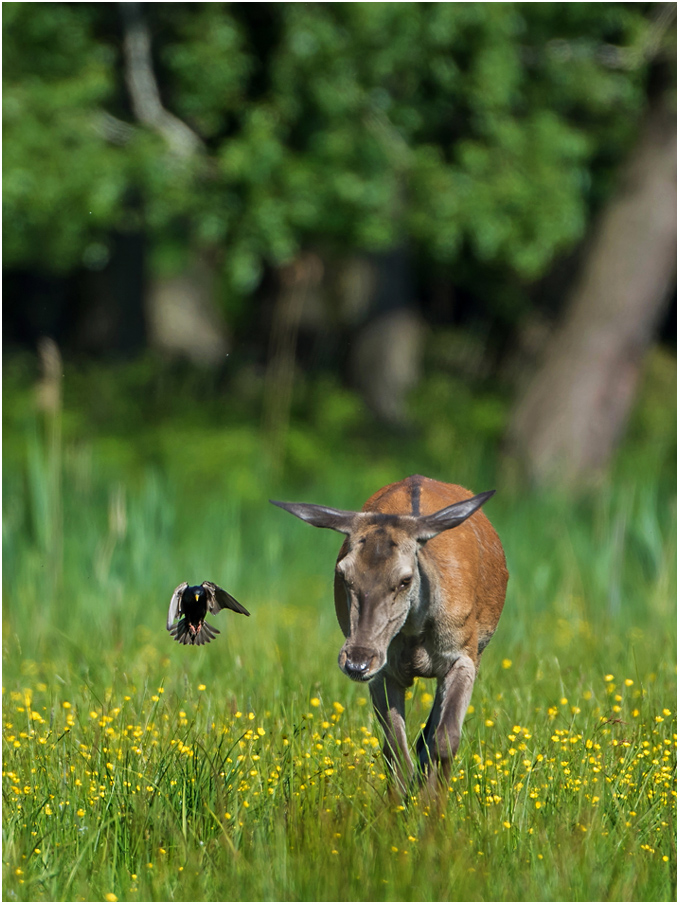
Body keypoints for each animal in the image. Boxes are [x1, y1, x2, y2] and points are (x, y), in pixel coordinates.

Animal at [274, 474, 508, 792]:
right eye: (343, 574)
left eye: (405, 579)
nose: (357, 661)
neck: (414, 637)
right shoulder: (383, 672)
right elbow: (393, 749)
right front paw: (402, 800)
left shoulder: (463, 653)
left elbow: (446, 738)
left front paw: (431, 802)